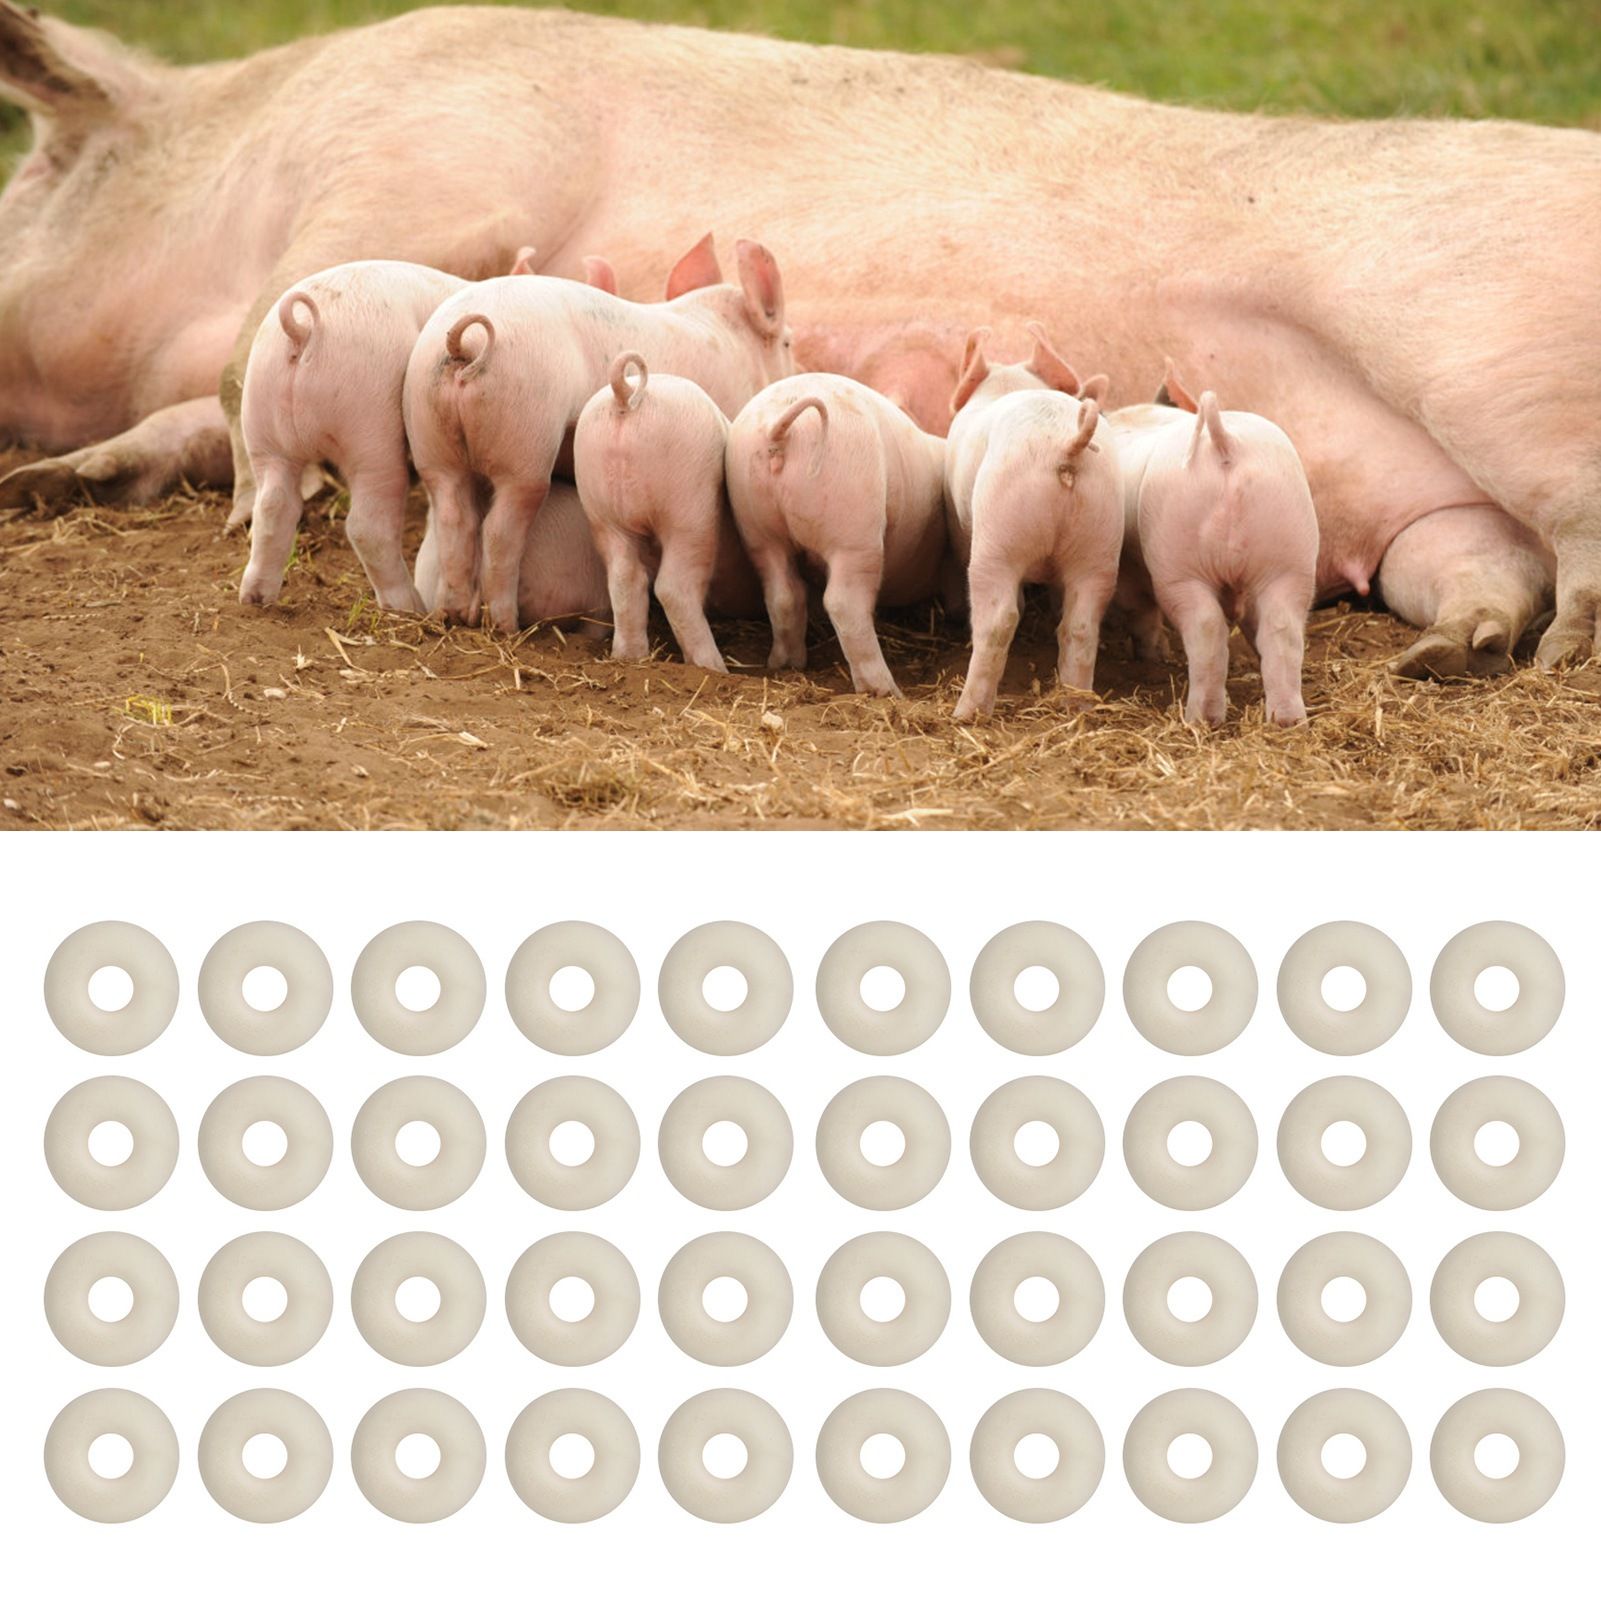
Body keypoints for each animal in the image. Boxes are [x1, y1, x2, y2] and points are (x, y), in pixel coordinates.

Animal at [572, 352, 758, 672]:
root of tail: (625, 394)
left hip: (599, 506)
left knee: (625, 578)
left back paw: (629, 656)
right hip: (689, 506)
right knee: (673, 587)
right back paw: (713, 667)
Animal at [724, 374, 949, 696]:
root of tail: (777, 430)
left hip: (755, 523)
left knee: (782, 593)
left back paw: (785, 664)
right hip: (853, 523)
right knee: (843, 603)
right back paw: (886, 691)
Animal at [944, 324, 1123, 720]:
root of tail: (1067, 444)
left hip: (999, 531)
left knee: (999, 620)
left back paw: (966, 713)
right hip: (1100, 539)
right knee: (1081, 626)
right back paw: (1076, 707)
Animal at [1110, 365, 1319, 727]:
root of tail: (1225, 443)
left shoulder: (1130, 570)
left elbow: (1140, 609)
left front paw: (1152, 654)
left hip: (1178, 562)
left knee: (1205, 628)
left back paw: (1201, 718)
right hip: (1290, 553)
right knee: (1282, 630)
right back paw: (1287, 721)